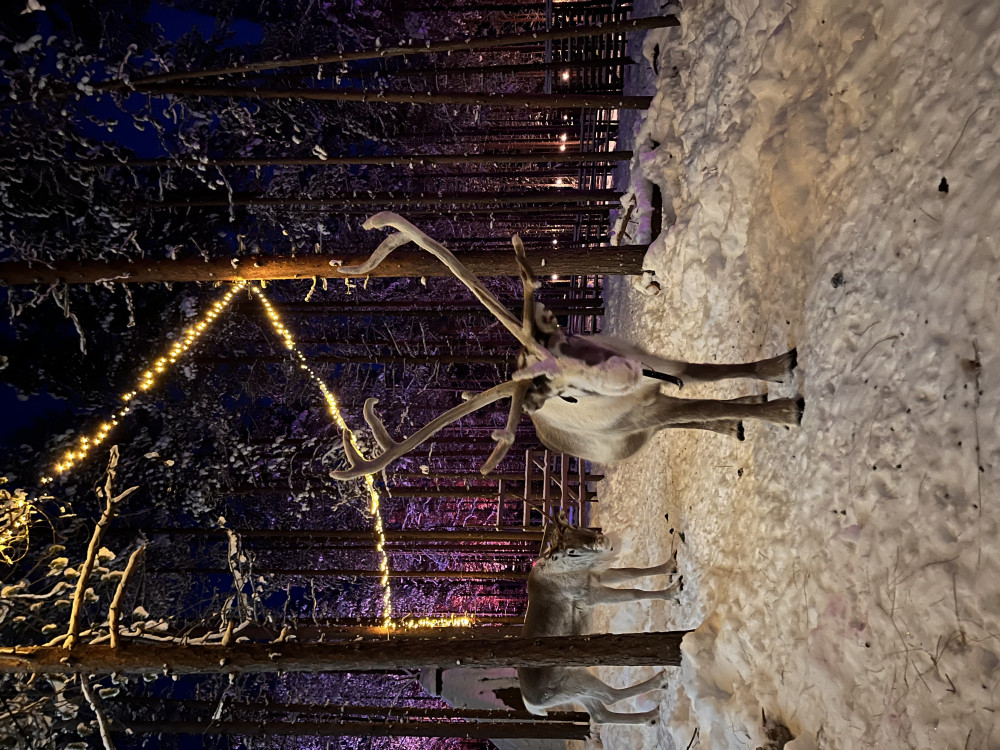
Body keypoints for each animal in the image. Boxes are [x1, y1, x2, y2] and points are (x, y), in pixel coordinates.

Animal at [329, 212, 804, 480]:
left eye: (565, 337)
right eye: (566, 394)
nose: (621, 372)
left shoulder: (655, 363)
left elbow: (712, 372)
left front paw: (777, 366)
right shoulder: (642, 407)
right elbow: (702, 405)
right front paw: (785, 410)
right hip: (632, 433)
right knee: (682, 421)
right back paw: (736, 420)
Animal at [518, 512, 682, 725]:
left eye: (575, 525)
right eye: (571, 552)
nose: (601, 541)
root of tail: (532, 705)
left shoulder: (598, 575)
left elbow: (632, 572)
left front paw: (670, 564)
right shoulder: (590, 595)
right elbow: (633, 592)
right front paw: (672, 593)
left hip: (577, 686)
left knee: (599, 714)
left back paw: (651, 717)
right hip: (576, 683)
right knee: (610, 696)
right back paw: (660, 684)